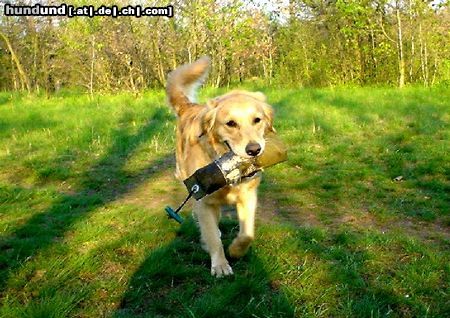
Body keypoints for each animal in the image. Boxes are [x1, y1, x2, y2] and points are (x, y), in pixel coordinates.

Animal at [167, 56, 274, 276]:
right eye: (230, 123)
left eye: (257, 120)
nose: (254, 149)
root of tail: (189, 106)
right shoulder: (204, 202)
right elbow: (213, 237)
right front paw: (221, 265)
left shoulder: (248, 196)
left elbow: (247, 234)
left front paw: (235, 250)